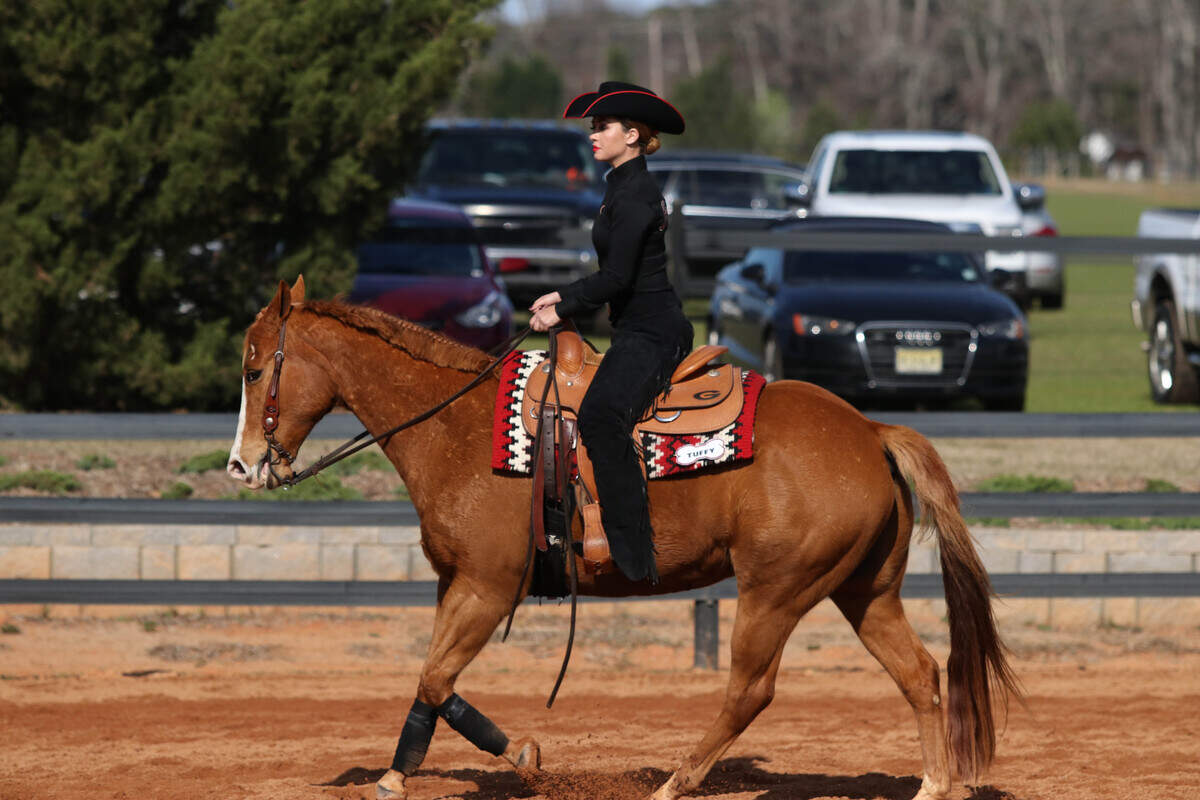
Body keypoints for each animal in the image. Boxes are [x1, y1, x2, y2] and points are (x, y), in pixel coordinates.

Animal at [226, 277, 1019, 800]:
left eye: (256, 367)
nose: (241, 465)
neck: (456, 426)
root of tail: (869, 431)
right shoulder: (457, 584)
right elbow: (432, 679)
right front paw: (422, 768)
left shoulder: (488, 587)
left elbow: (437, 676)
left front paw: (495, 759)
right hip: (864, 591)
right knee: (920, 673)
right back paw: (932, 785)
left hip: (777, 590)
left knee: (750, 690)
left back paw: (674, 782)